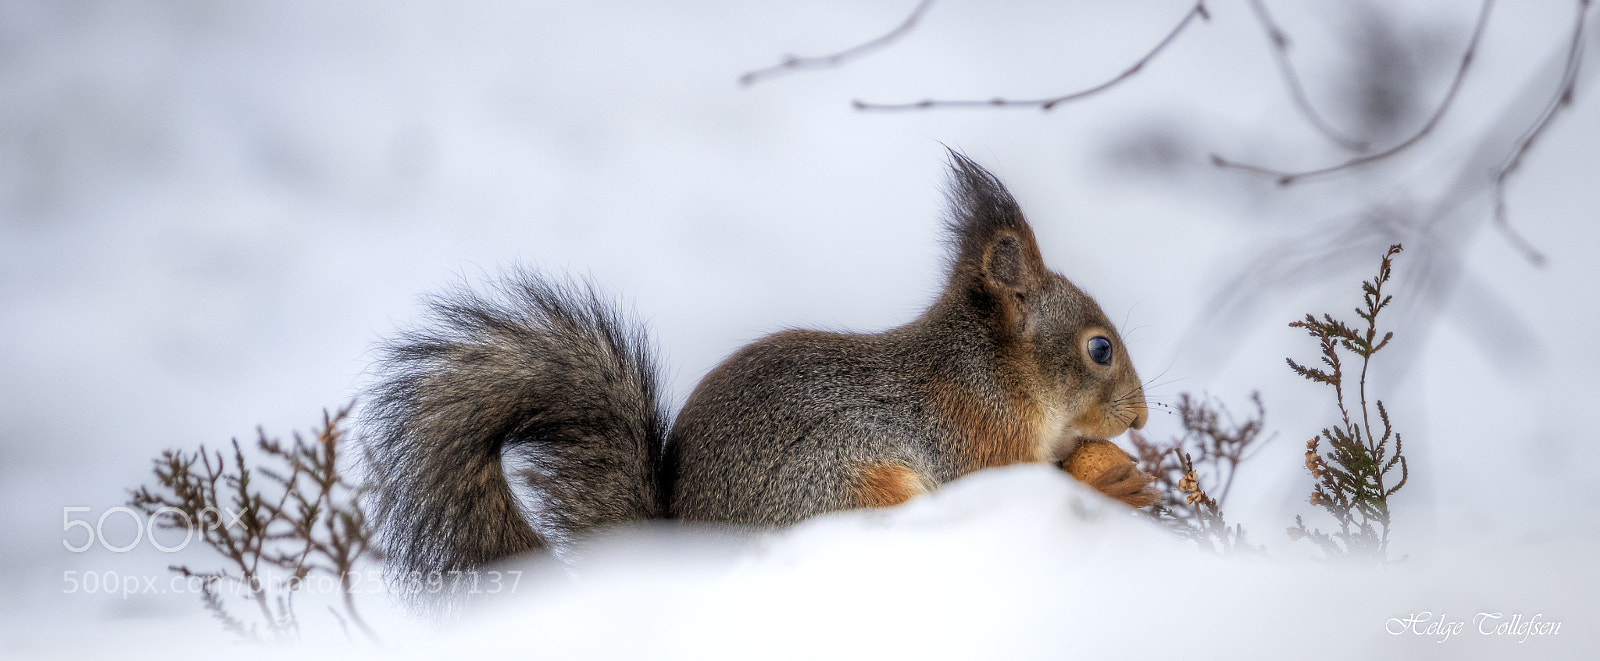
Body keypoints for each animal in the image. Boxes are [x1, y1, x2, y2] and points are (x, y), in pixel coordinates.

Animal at [360, 152, 1157, 600]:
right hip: (848, 489)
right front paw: (1114, 480)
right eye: (1099, 349)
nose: (1142, 417)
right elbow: (1022, 489)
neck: (993, 375)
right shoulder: (973, 442)